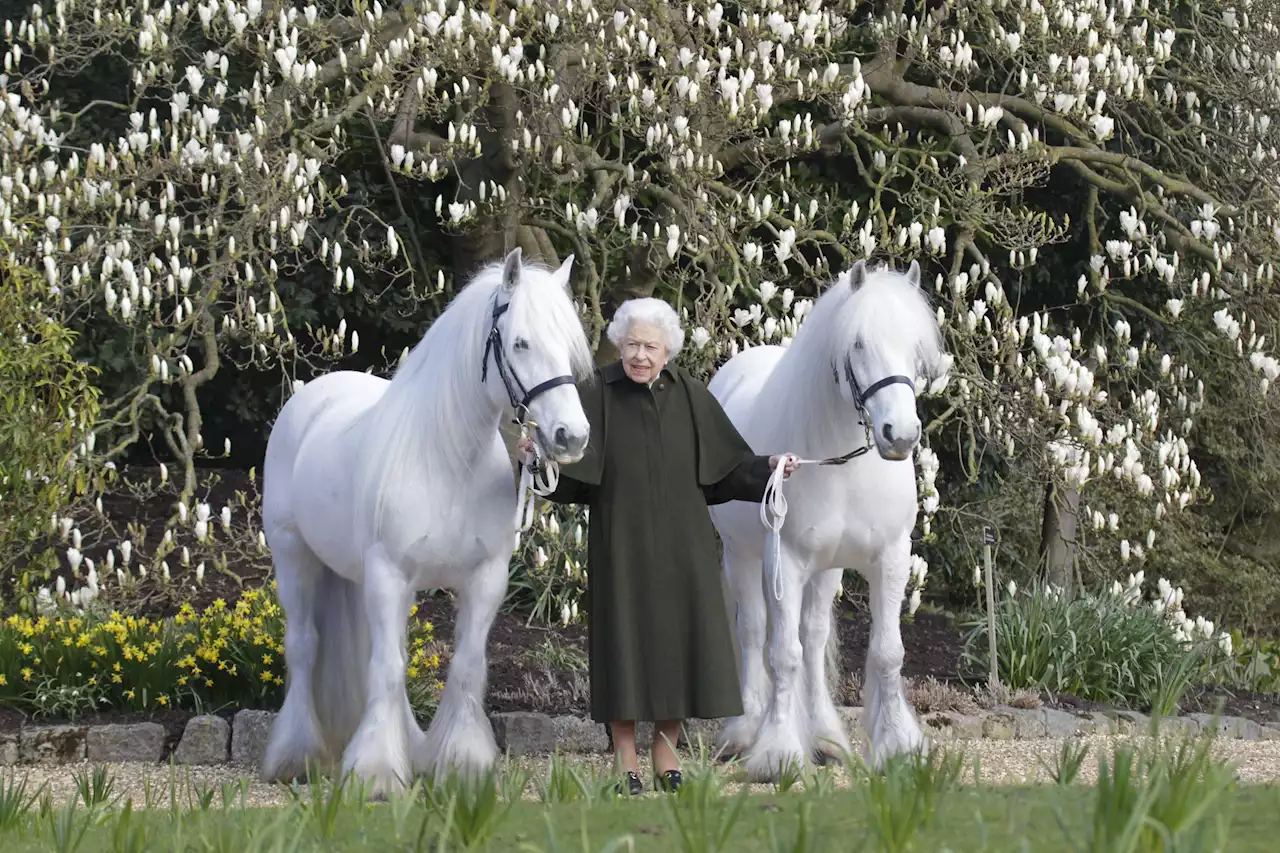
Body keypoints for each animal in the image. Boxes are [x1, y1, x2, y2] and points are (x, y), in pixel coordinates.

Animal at [261, 249, 599, 794]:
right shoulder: (389, 574)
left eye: (569, 347)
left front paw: (461, 762)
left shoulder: (484, 579)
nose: (572, 436)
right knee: (305, 647)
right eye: (521, 342)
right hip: (295, 558)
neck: (447, 461)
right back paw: (296, 755)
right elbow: (386, 667)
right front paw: (376, 772)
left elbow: (463, 665)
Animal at [706, 257, 947, 778]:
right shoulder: (786, 562)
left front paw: (897, 745)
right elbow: (783, 654)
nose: (900, 434)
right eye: (857, 344)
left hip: (827, 569)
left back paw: (825, 737)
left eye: (915, 349)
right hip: (742, 557)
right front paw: (777, 752)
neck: (844, 465)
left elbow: (886, 652)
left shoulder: (890, 558)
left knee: (814, 639)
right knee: (754, 632)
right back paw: (745, 731)